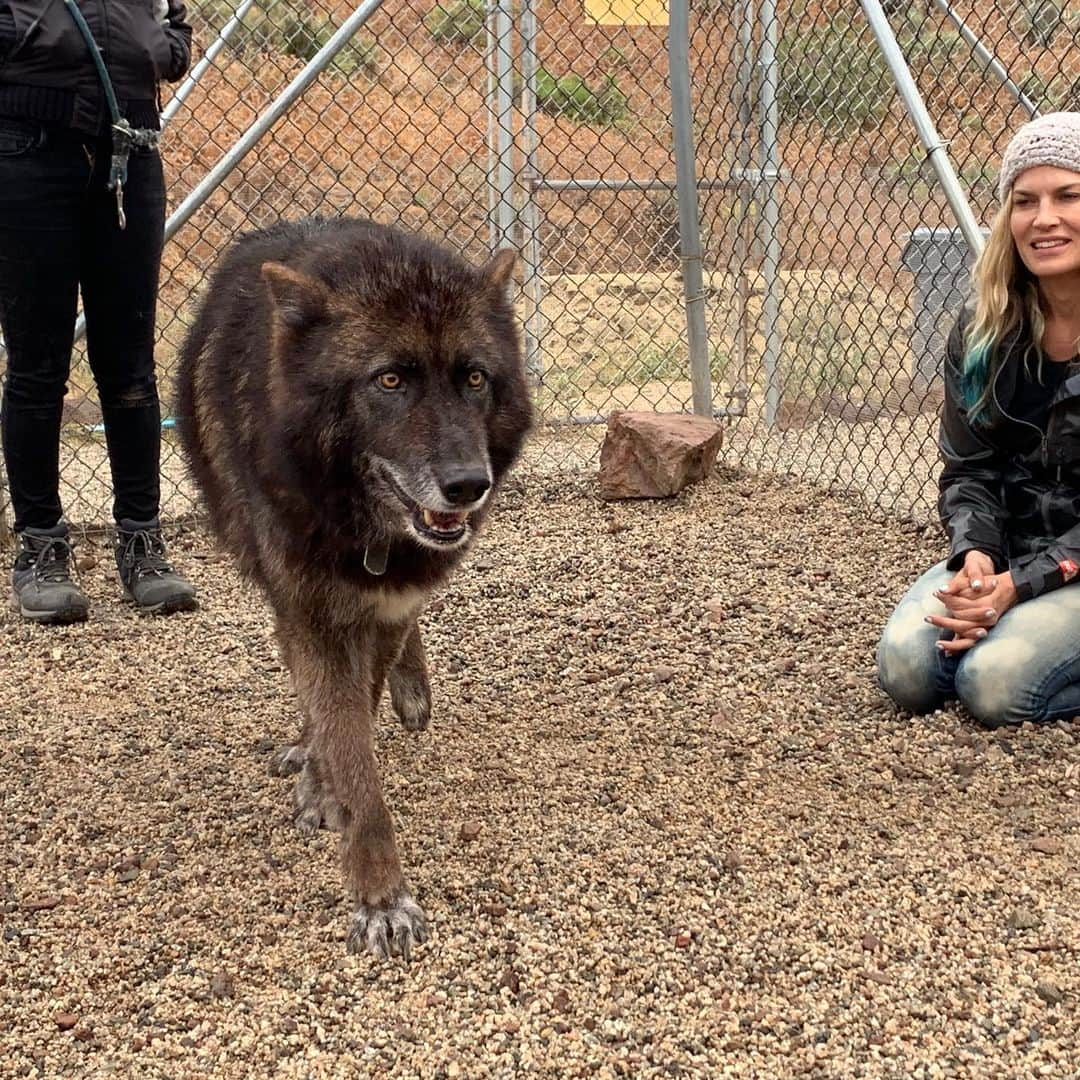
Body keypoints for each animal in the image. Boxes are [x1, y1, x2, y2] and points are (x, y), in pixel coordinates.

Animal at [172, 214, 531, 959]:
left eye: (475, 378)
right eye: (389, 379)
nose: (469, 486)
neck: (361, 525)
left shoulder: (388, 604)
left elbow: (357, 712)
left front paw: (329, 783)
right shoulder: (309, 609)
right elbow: (345, 738)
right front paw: (379, 896)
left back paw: (407, 691)